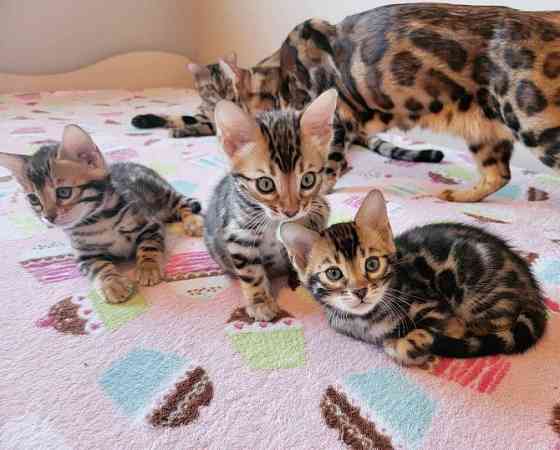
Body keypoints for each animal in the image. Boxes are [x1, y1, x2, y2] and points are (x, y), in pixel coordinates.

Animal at [0, 125, 203, 304]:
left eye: (64, 192)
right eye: (34, 199)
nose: (48, 217)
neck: (96, 221)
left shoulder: (150, 224)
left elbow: (149, 247)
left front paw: (148, 267)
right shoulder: (84, 253)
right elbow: (98, 267)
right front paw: (111, 284)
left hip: (160, 195)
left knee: (183, 204)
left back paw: (194, 223)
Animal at [206, 89, 336, 320]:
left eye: (308, 180)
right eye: (265, 184)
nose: (291, 212)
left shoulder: (320, 203)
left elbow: (316, 216)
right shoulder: (238, 232)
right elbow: (250, 272)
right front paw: (260, 302)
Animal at [280, 190, 548, 366]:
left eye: (372, 264)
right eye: (333, 273)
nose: (360, 291)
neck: (366, 320)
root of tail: (532, 290)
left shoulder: (433, 306)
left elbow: (415, 338)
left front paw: (407, 346)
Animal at [282, 4, 560, 201]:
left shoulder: (339, 118)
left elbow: (329, 166)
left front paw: (315, 193)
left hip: (533, 123)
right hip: (485, 131)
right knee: (499, 175)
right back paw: (458, 196)